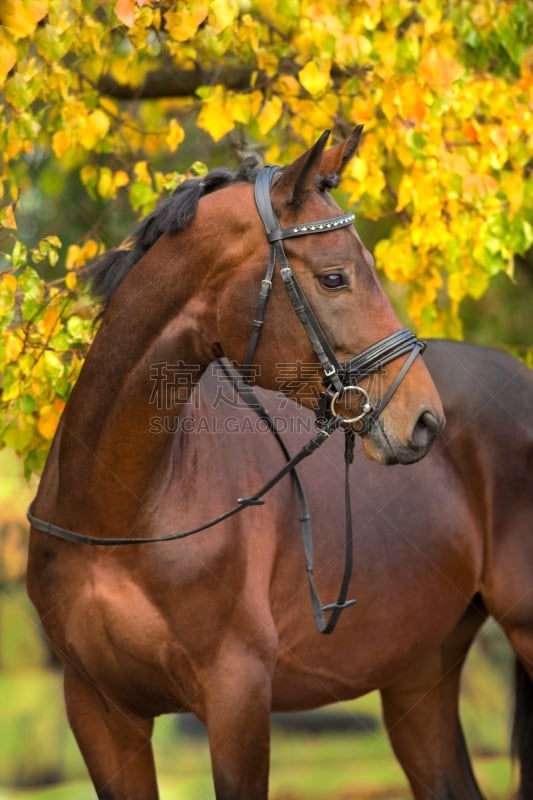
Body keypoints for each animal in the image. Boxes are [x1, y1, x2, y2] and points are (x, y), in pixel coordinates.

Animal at [26, 128, 532, 796]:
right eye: (336, 277)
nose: (424, 420)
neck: (121, 508)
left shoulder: (237, 700)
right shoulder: (99, 712)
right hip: (418, 671)